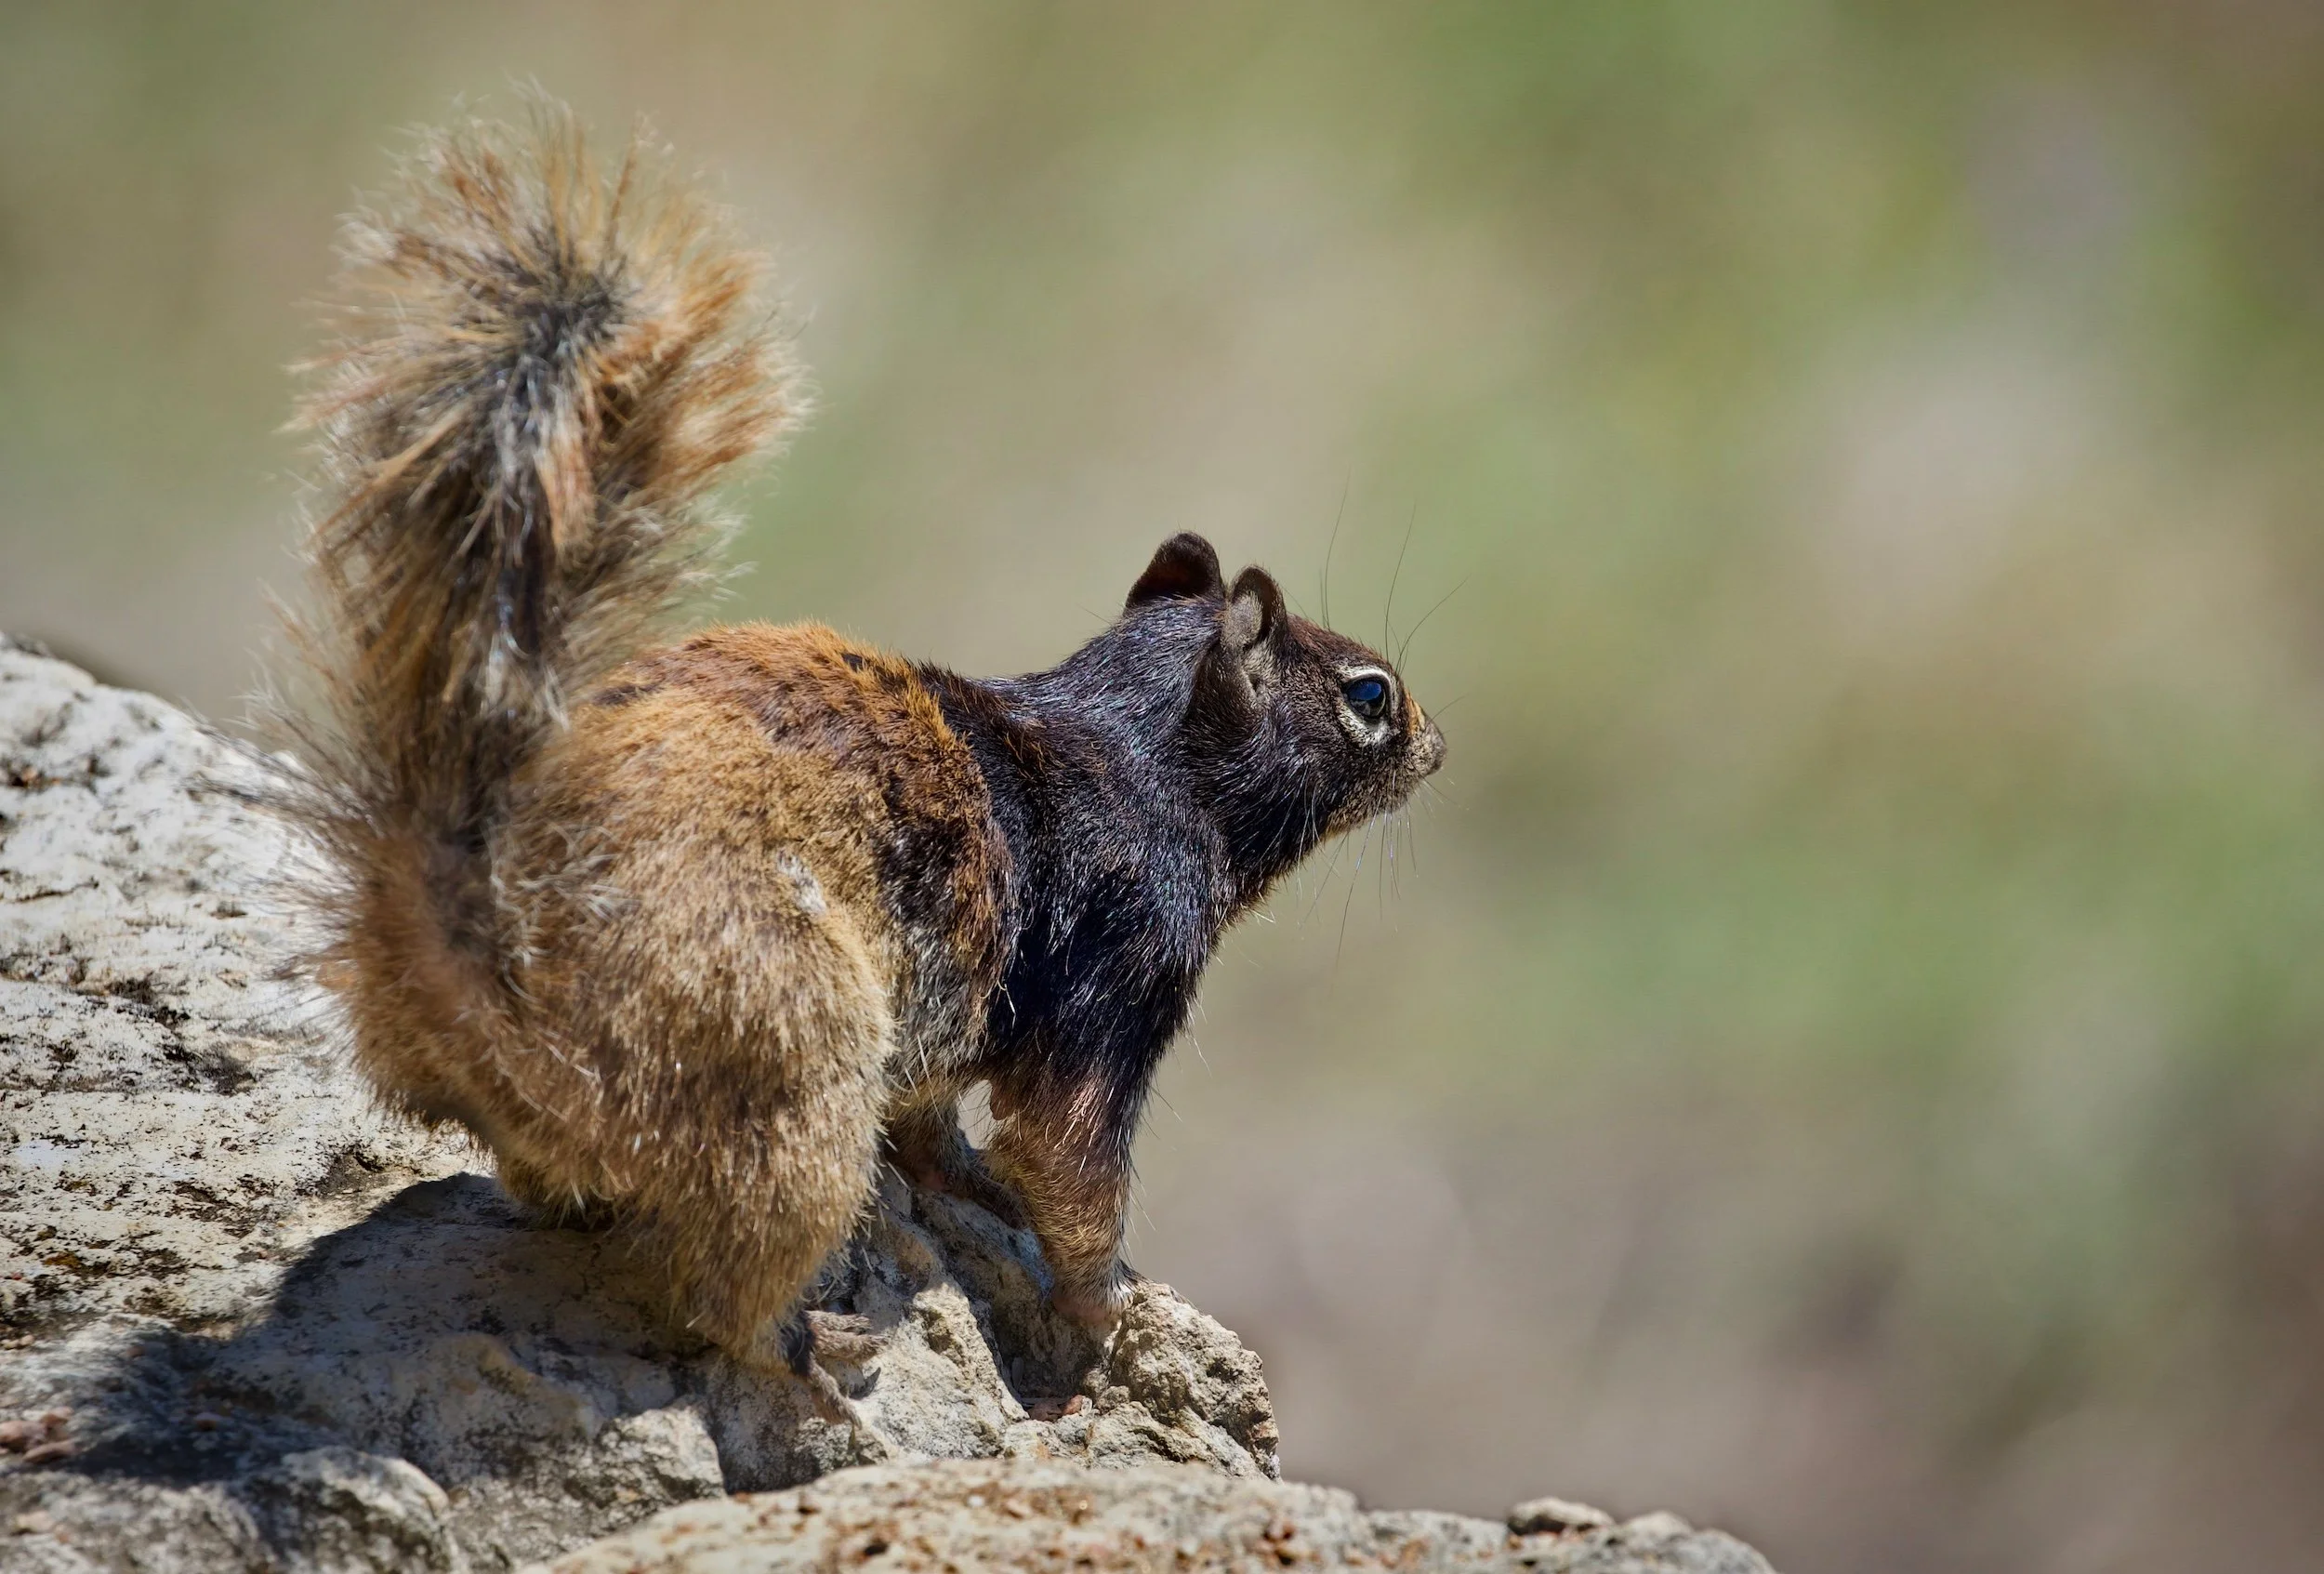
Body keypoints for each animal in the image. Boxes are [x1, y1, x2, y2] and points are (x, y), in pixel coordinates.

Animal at [271, 105, 1445, 1407]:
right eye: (1369, 695)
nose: (1441, 744)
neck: (1139, 744)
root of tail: (476, 951)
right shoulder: (1128, 956)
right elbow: (1070, 1157)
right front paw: (1105, 1319)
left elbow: (941, 1123)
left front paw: (972, 1185)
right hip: (794, 1069)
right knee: (718, 1292)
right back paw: (815, 1349)